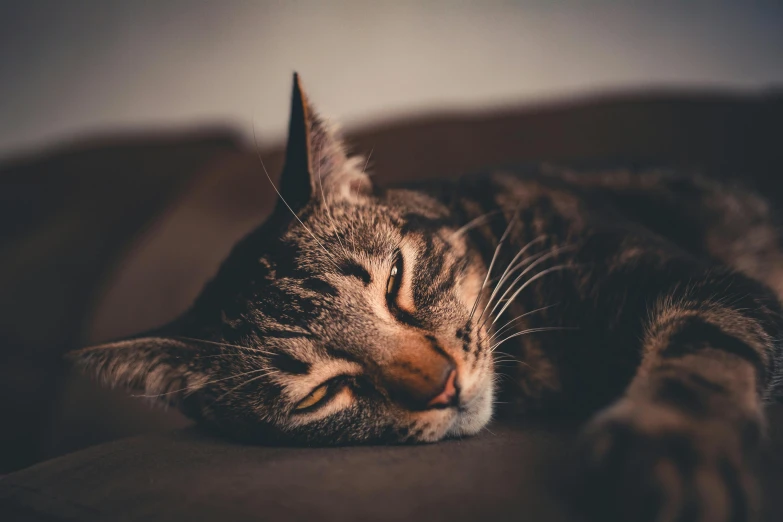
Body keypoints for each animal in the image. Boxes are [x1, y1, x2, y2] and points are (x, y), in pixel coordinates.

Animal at [69, 74, 783, 520]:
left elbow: (700, 351)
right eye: (319, 394)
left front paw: (671, 447)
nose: (445, 386)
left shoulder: (695, 280)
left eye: (394, 281)